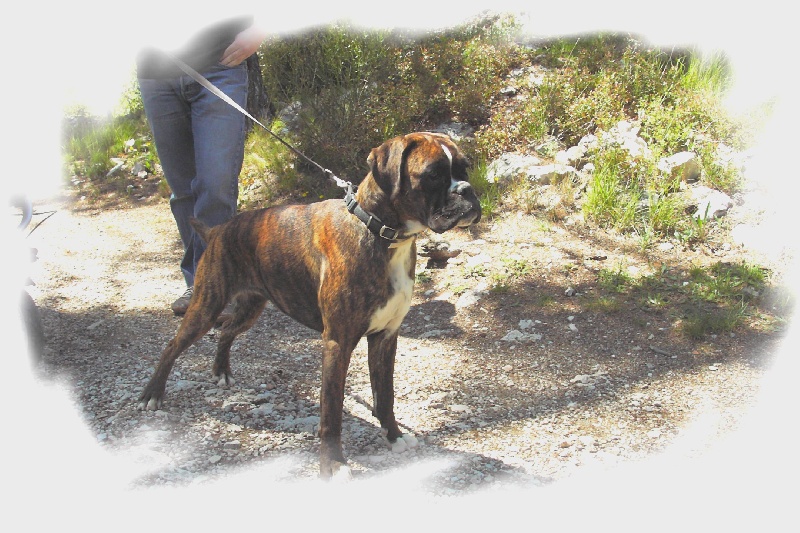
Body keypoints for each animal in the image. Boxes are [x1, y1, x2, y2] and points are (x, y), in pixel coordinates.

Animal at [138, 132, 482, 478]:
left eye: (464, 168)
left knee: (227, 331)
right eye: (433, 174)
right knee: (174, 345)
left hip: (251, 307)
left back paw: (221, 372)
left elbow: (385, 396)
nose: (468, 190)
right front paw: (333, 465)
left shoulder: (385, 338)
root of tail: (218, 230)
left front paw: (394, 436)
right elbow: (332, 411)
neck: (380, 231)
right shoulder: (337, 343)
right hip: (206, 306)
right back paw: (152, 395)